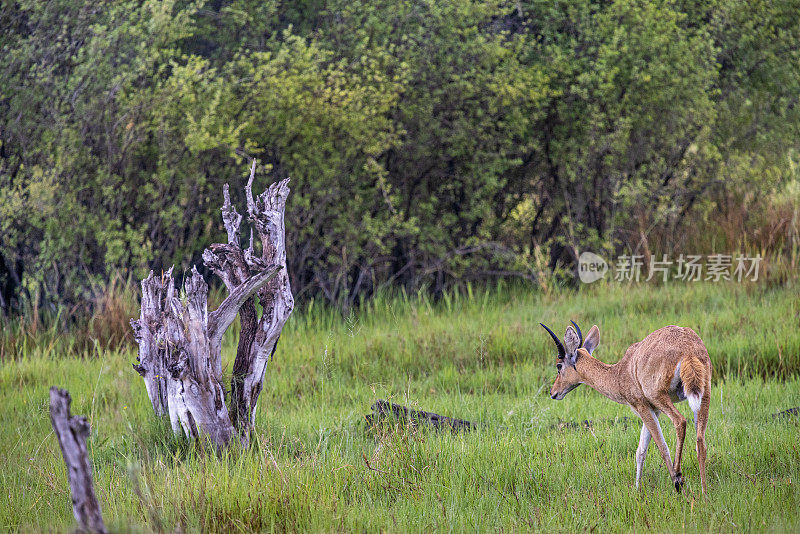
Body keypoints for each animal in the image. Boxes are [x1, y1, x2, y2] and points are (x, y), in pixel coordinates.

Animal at [544, 320, 712, 496]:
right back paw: (704, 493)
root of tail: (688, 349)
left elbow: (660, 446)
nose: (553, 392)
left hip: (659, 396)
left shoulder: (641, 405)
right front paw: (637, 490)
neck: (620, 372)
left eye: (559, 365)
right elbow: (641, 451)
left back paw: (678, 478)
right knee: (700, 442)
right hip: (703, 395)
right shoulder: (654, 409)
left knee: (680, 422)